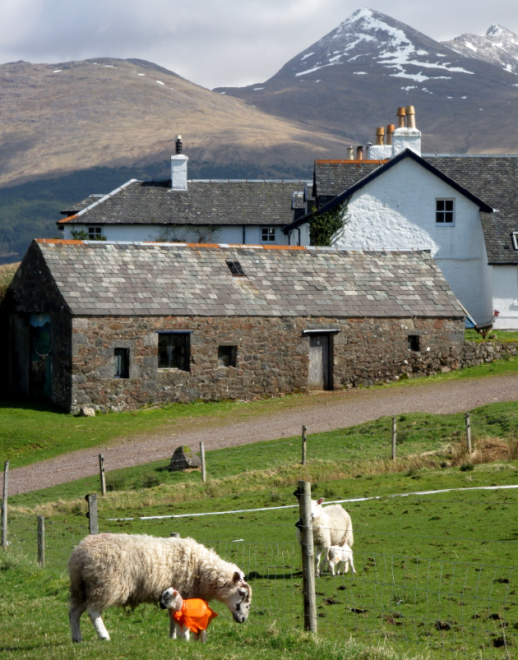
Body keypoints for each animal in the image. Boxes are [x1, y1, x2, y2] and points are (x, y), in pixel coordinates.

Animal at [67, 532, 254, 644]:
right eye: (242, 593)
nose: (243, 619)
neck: (201, 569)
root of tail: (79, 554)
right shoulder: (184, 593)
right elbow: (182, 620)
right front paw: (185, 638)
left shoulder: (174, 595)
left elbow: (173, 618)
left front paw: (173, 638)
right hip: (104, 586)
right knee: (93, 611)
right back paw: (104, 635)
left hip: (81, 589)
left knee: (74, 612)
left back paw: (77, 638)